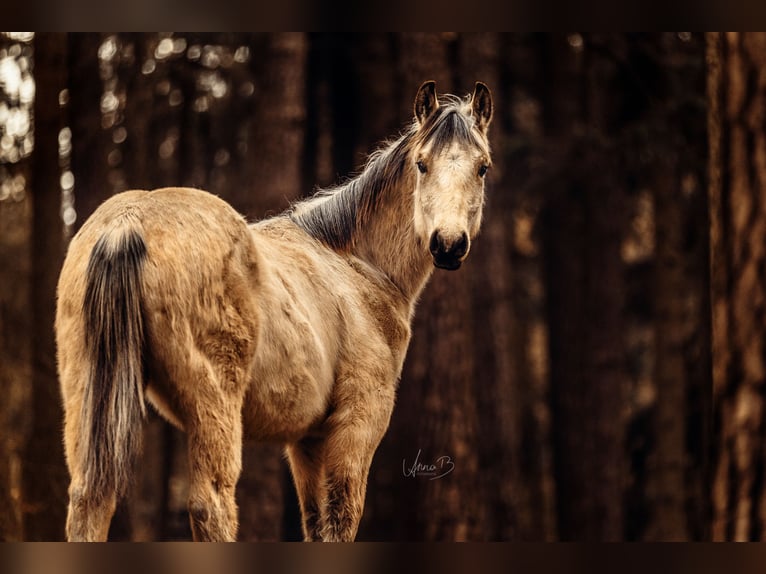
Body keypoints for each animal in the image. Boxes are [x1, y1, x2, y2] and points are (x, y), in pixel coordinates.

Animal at [57, 81, 496, 544]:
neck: (357, 266)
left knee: (89, 500)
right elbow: (341, 518)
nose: (448, 244)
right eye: (421, 164)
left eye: (482, 167)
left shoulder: (308, 442)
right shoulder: (356, 426)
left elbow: (316, 523)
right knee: (212, 505)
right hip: (215, 408)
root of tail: (128, 222)